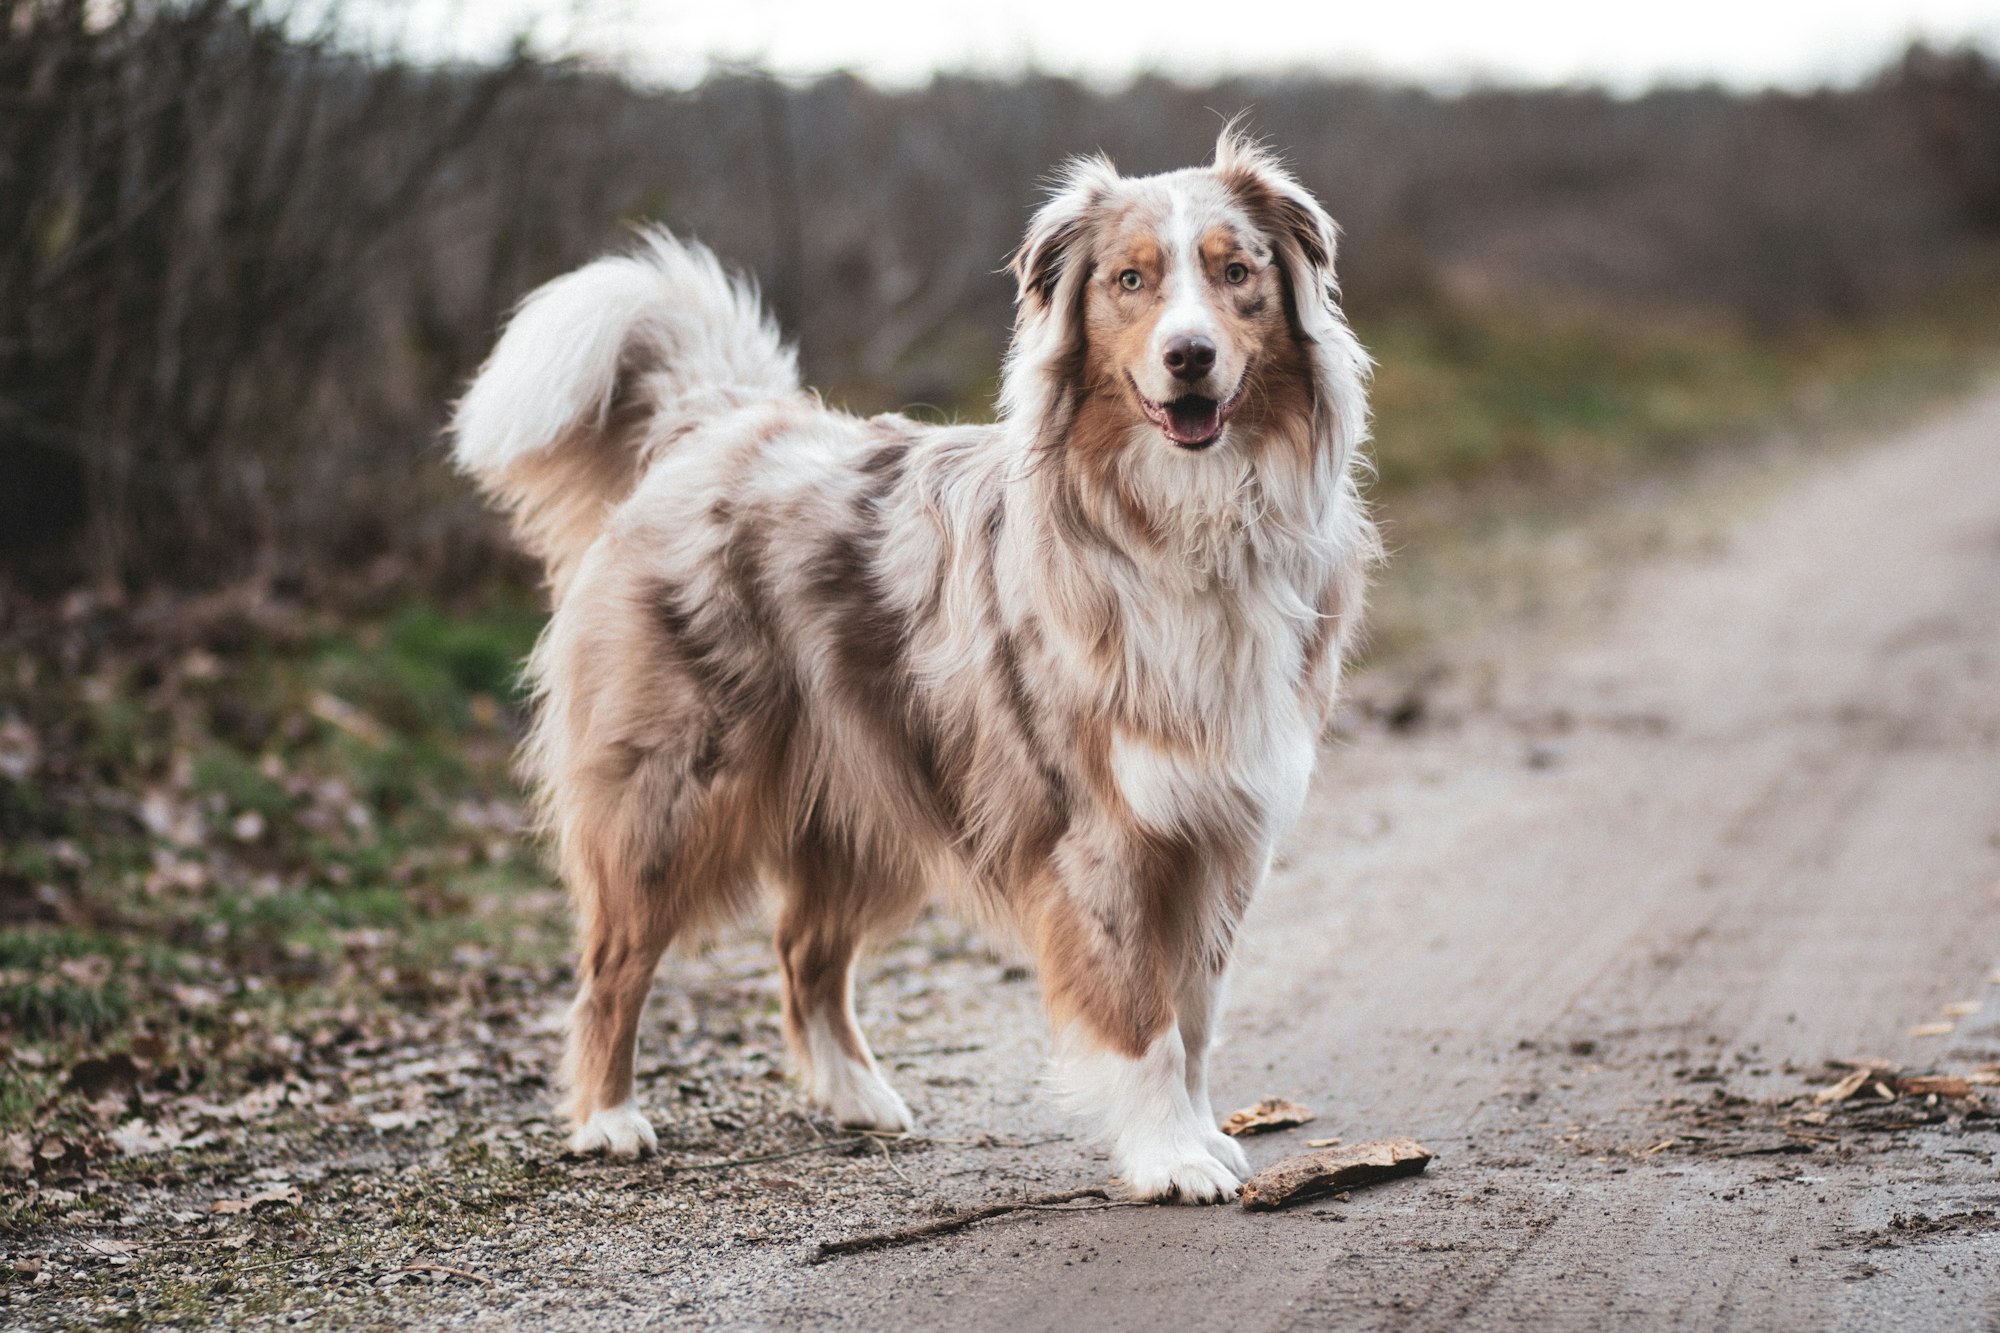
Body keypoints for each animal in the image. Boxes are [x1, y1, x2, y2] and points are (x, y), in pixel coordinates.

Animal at [458, 130, 1376, 1200]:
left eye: (1237, 273)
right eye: (1131, 280)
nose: (1189, 356)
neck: (1184, 518)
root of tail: (715, 423)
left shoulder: (1220, 826)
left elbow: (1193, 1015)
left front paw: (1200, 1133)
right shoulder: (1102, 831)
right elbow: (1143, 1015)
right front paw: (1170, 1156)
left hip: (872, 791)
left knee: (803, 950)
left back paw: (858, 1096)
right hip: (674, 790)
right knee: (615, 960)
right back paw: (608, 1118)